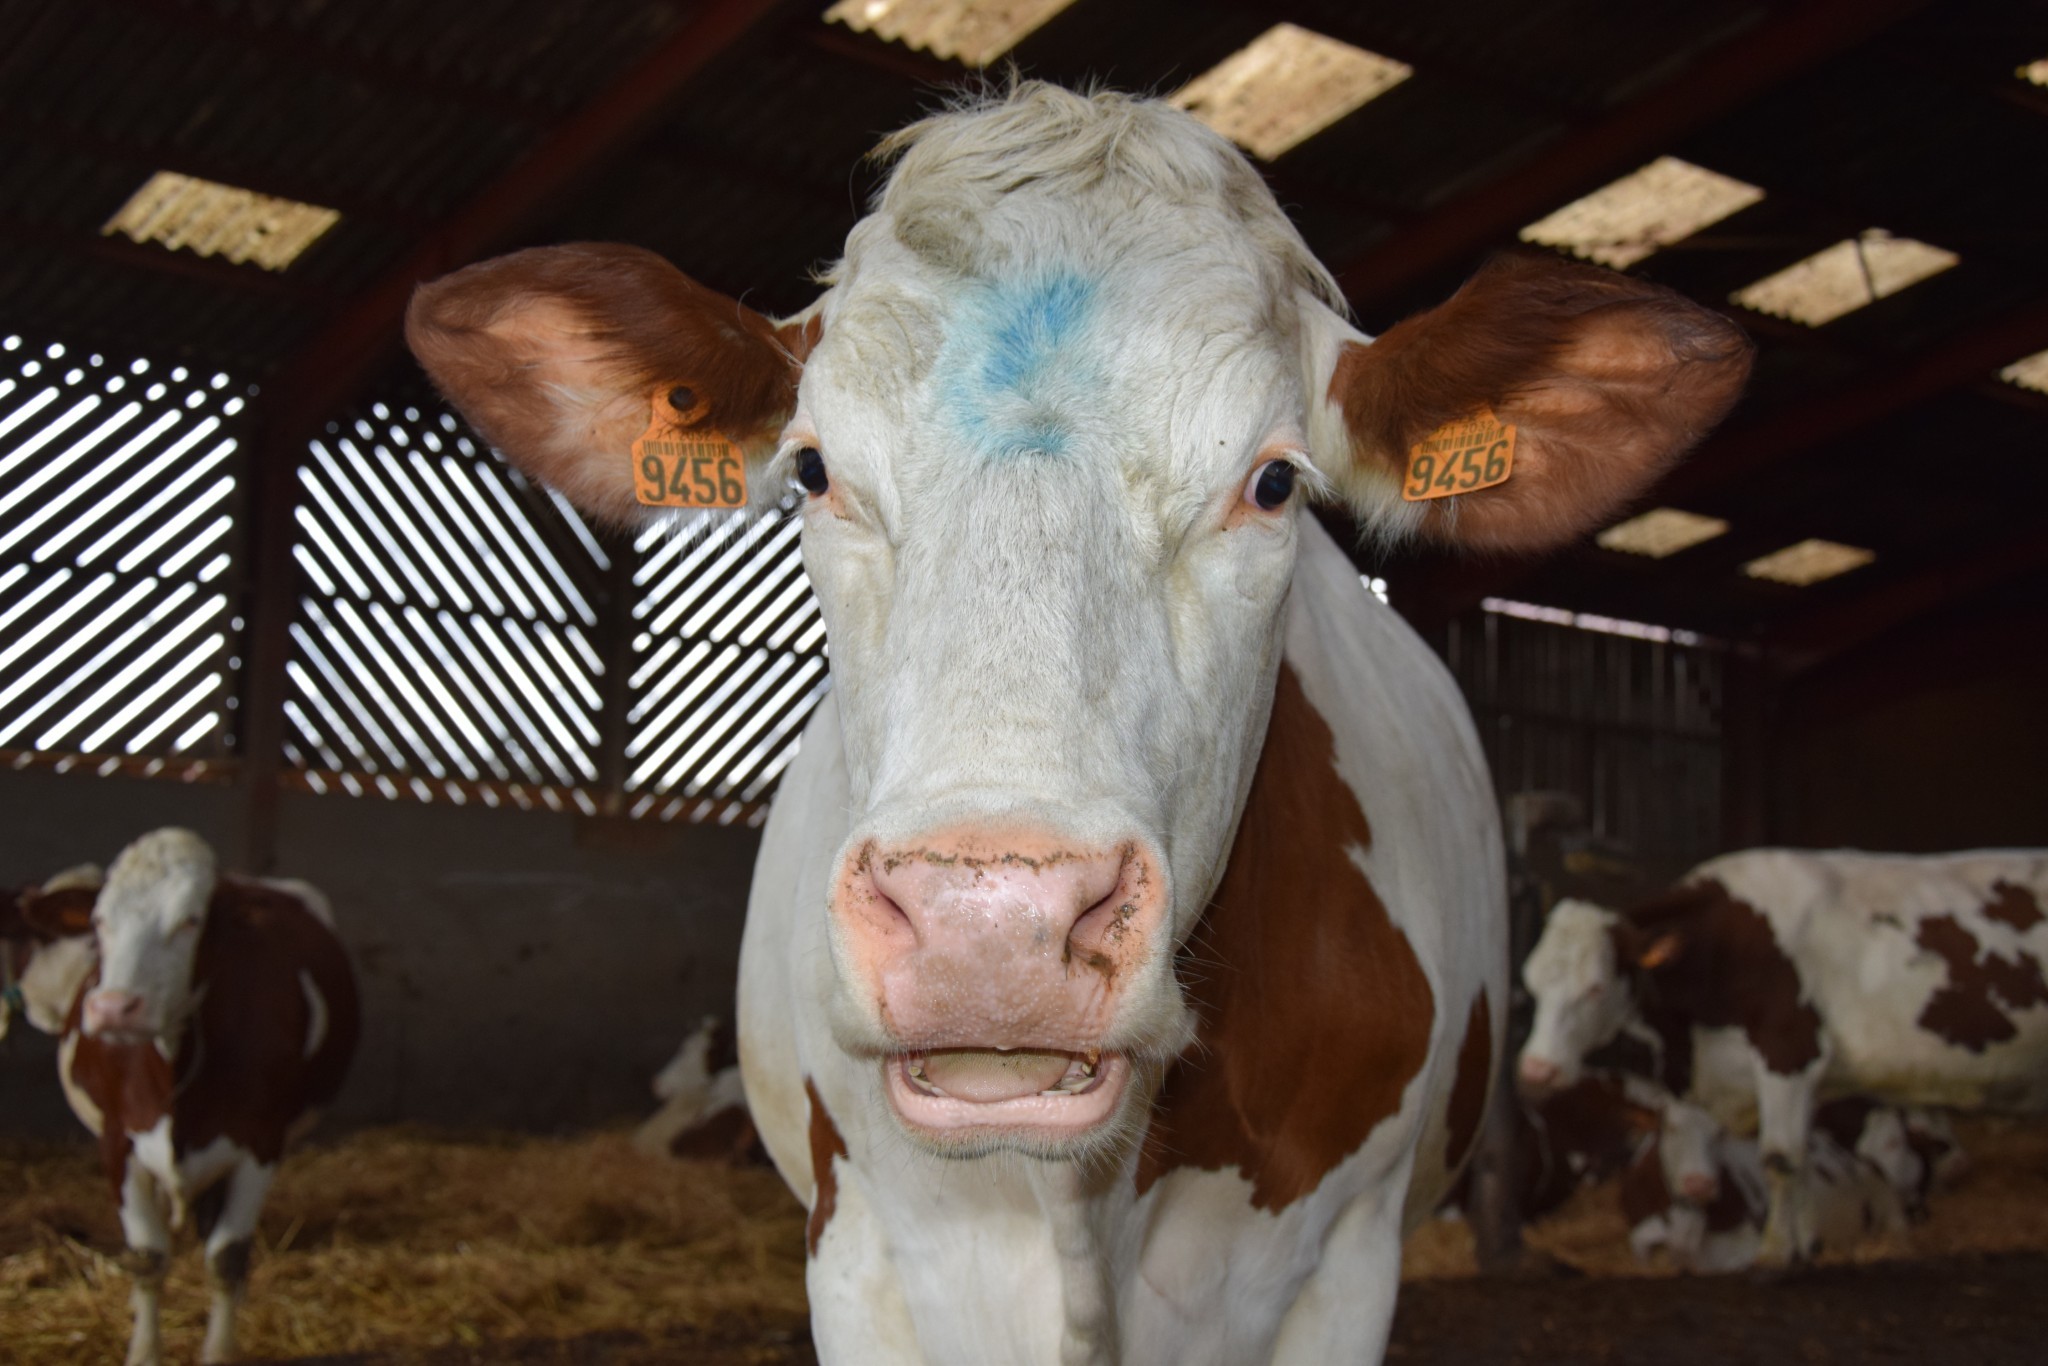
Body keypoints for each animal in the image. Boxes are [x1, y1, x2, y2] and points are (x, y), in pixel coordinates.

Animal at [9, 835, 360, 1366]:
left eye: (191, 920)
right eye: (99, 921)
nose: (113, 1008)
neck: (175, 1058)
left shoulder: (260, 1142)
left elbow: (226, 1254)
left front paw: (219, 1349)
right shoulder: (118, 1141)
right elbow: (148, 1256)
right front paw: (143, 1350)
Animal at [1523, 847, 2048, 1269]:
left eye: (1595, 987)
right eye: (1531, 984)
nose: (1536, 1069)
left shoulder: (1789, 1054)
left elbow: (1780, 1158)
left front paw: (1774, 1254)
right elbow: (1803, 1159)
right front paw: (1805, 1245)